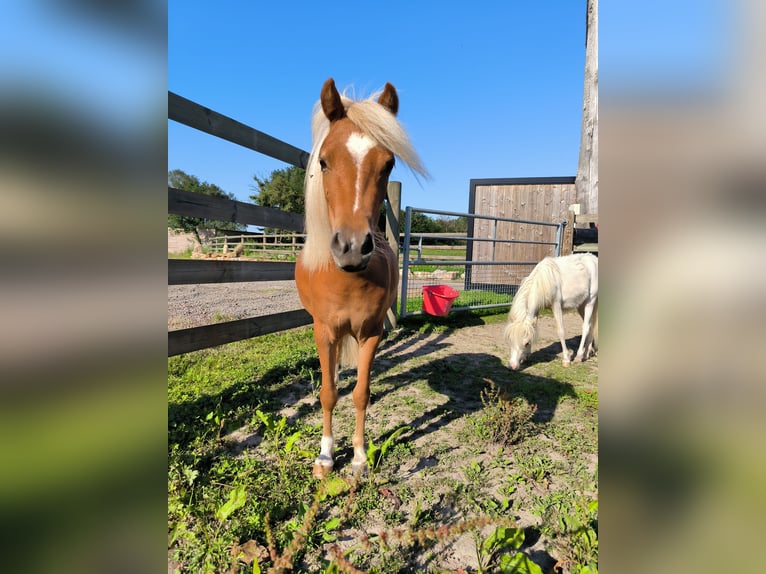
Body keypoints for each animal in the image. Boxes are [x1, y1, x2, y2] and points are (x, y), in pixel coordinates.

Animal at [296, 79, 428, 480]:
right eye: (324, 161)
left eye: (389, 163)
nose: (353, 247)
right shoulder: (324, 331)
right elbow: (327, 393)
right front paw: (325, 457)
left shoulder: (370, 333)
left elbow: (360, 393)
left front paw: (358, 457)